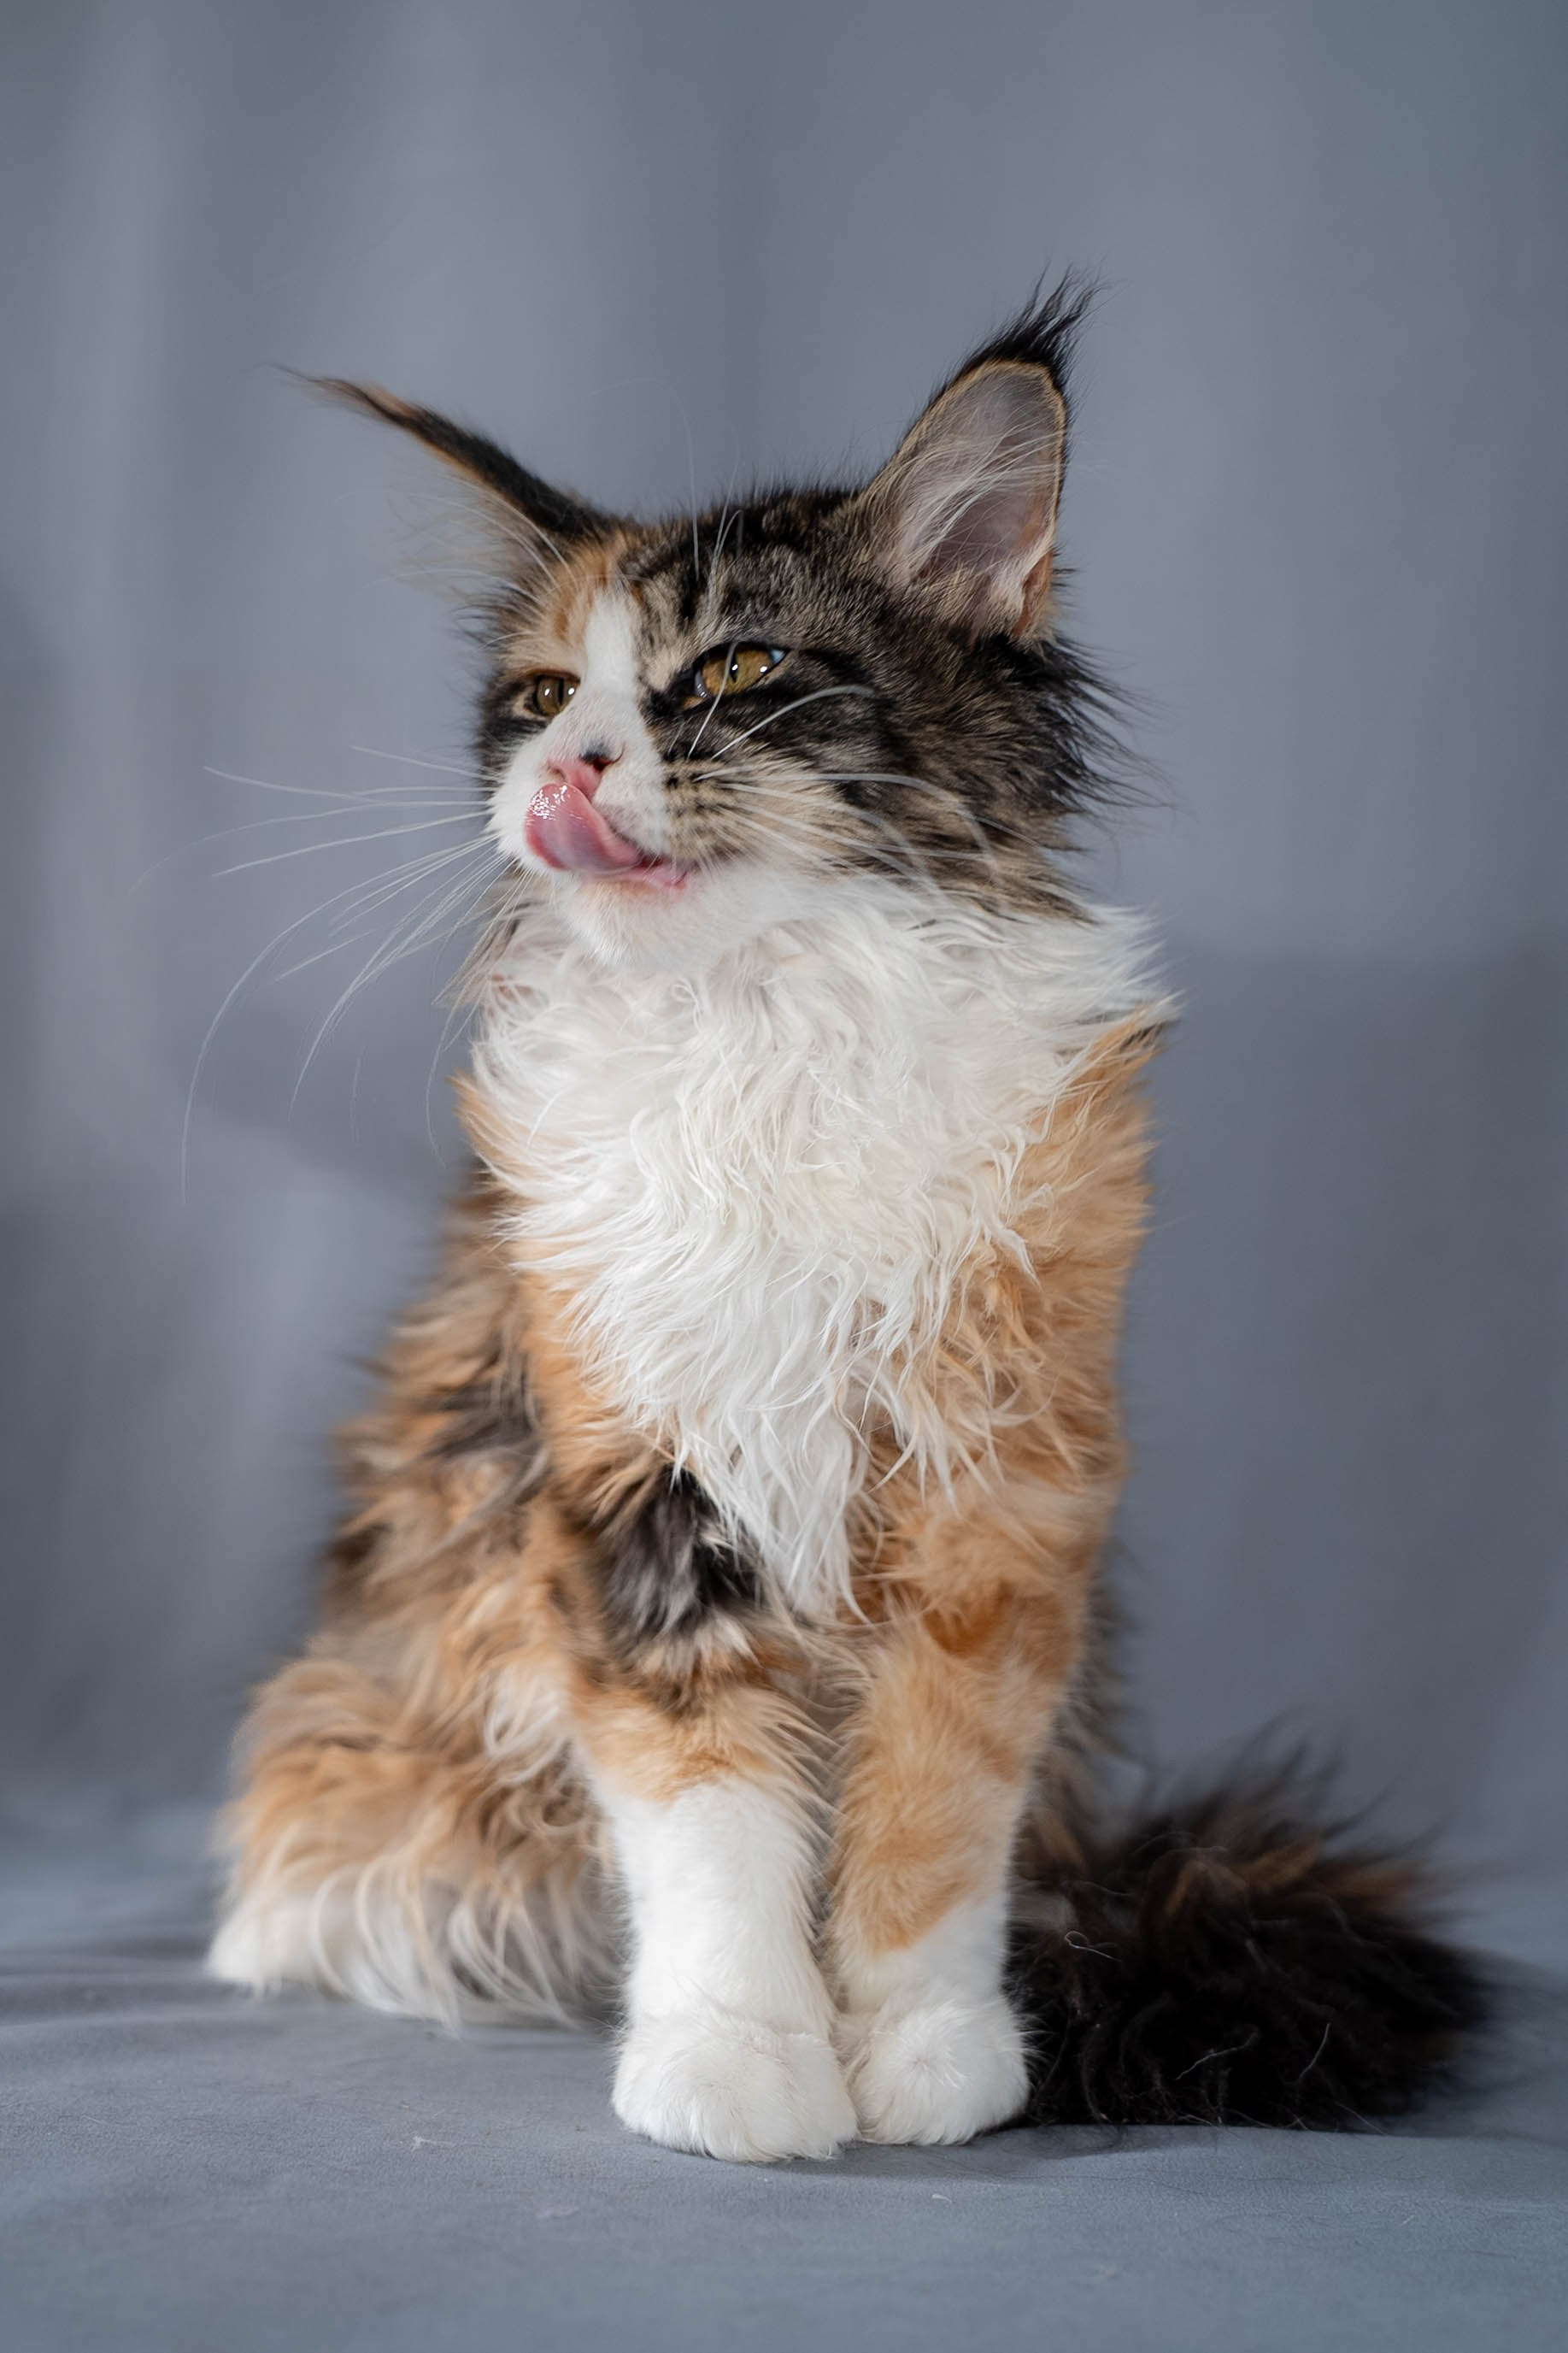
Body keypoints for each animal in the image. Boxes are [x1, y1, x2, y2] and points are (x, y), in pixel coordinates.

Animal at [209, 286, 1481, 2161]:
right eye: (538, 699)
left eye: (734, 673)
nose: (566, 767)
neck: (771, 1024)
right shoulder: (638, 1481)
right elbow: (713, 1822)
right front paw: (737, 2059)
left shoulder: (997, 1492)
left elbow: (933, 1809)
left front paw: (926, 2053)